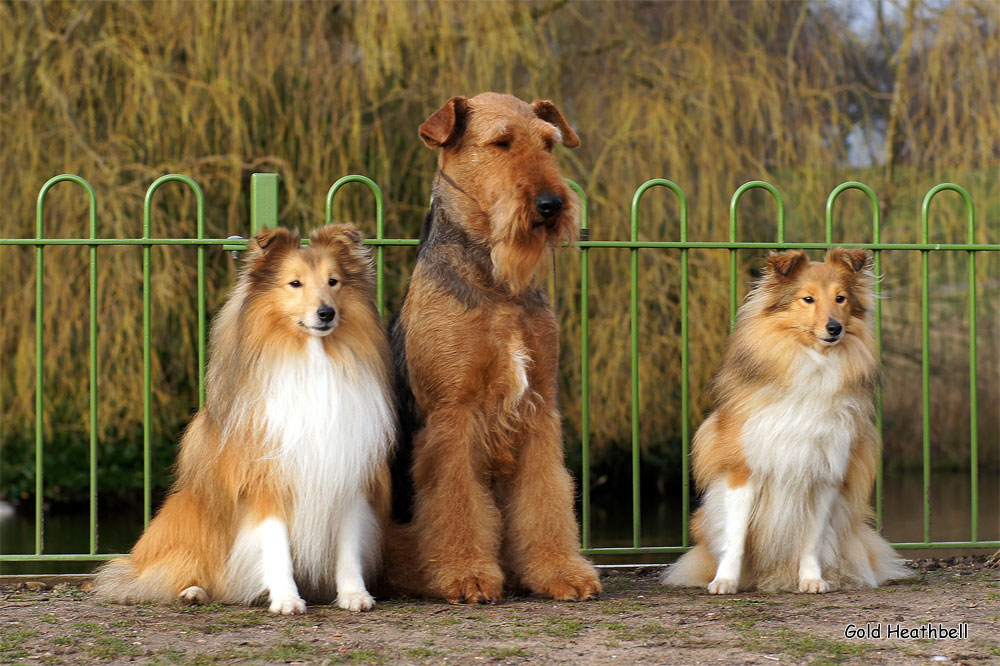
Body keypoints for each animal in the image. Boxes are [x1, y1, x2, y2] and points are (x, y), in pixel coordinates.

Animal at [96, 223, 394, 612]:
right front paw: (286, 599)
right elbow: (276, 547)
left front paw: (354, 594)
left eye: (334, 281)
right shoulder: (264, 482)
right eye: (294, 283)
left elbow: (349, 548)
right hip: (190, 515)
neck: (312, 360)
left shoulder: (347, 473)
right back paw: (192, 591)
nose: (327, 313)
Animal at [386, 92, 596, 600]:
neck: (498, 284)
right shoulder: (452, 413)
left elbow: (546, 498)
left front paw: (561, 572)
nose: (551, 204)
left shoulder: (539, 407)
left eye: (548, 144)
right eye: (501, 142)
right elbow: (456, 501)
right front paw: (467, 575)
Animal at [668, 246, 912, 588]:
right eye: (807, 299)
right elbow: (735, 536)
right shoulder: (743, 471)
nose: (834, 328)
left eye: (841, 298)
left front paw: (812, 580)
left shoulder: (825, 473)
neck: (813, 364)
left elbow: (811, 540)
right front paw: (725, 581)